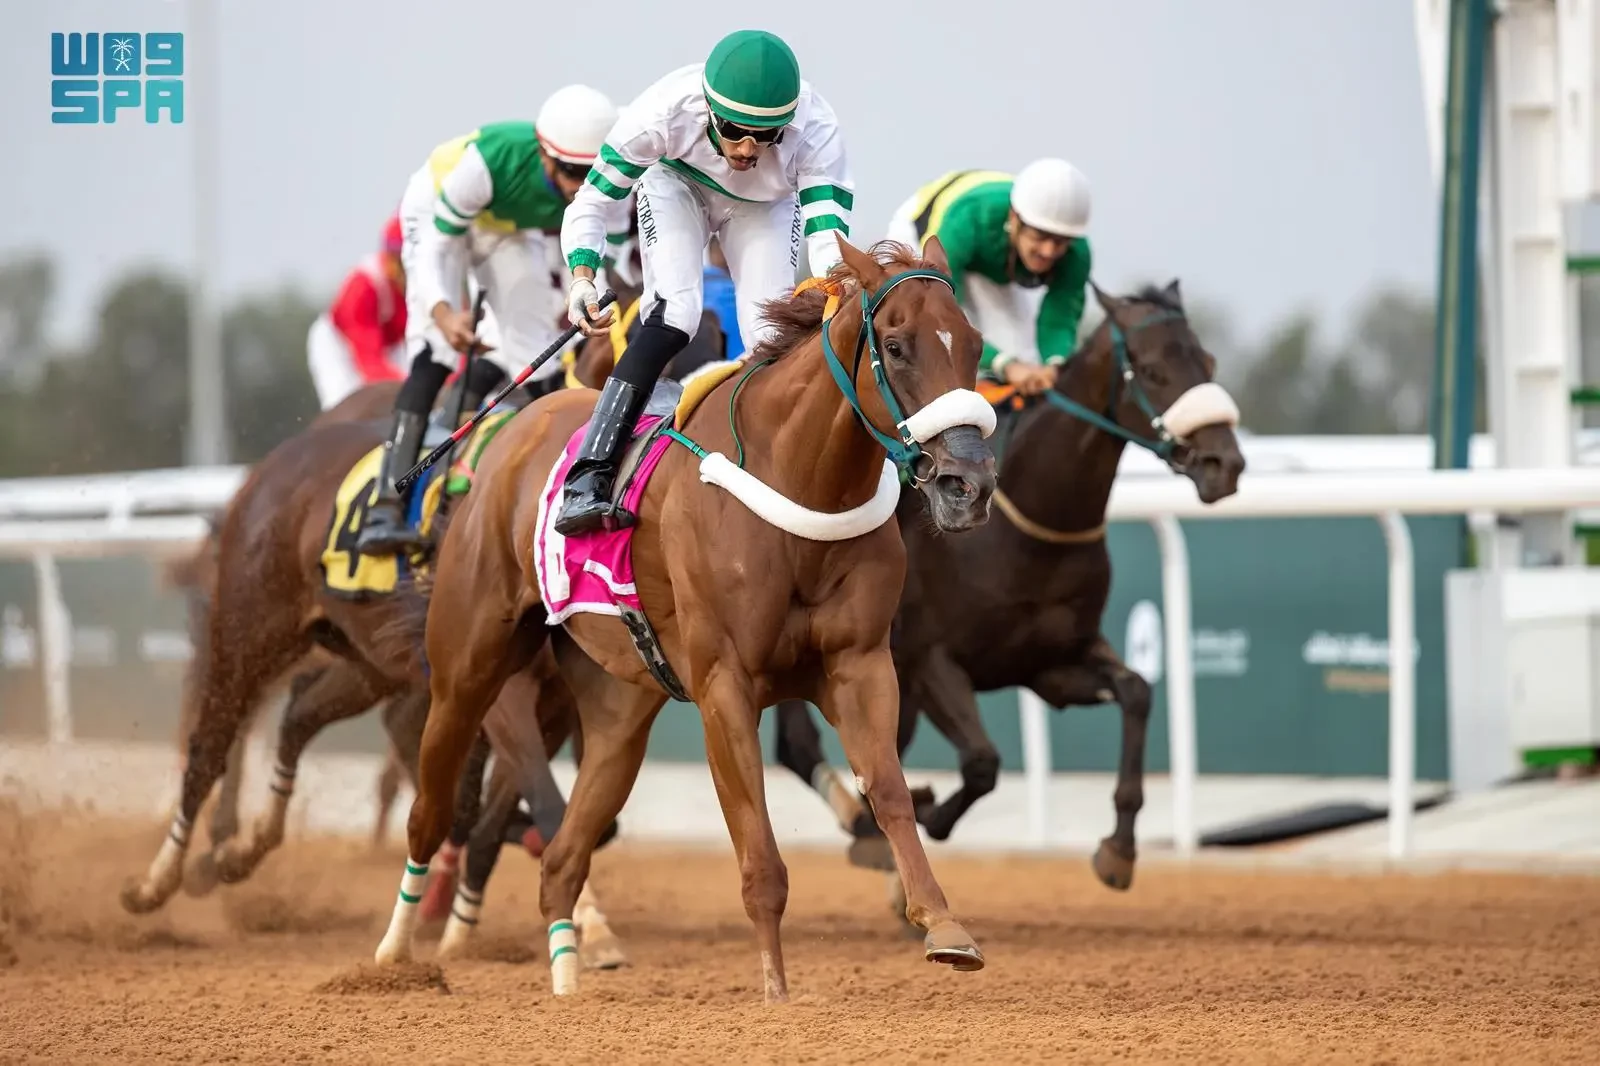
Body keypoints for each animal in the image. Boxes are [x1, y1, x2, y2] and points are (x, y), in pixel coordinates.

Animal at [371, 236, 998, 998]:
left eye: (974, 343)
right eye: (900, 347)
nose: (969, 484)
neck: (798, 480)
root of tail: (507, 434)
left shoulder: (860, 665)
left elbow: (889, 792)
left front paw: (944, 925)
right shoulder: (725, 683)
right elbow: (758, 849)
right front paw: (776, 992)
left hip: (618, 712)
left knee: (562, 859)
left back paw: (567, 982)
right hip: (467, 669)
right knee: (429, 812)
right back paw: (394, 958)